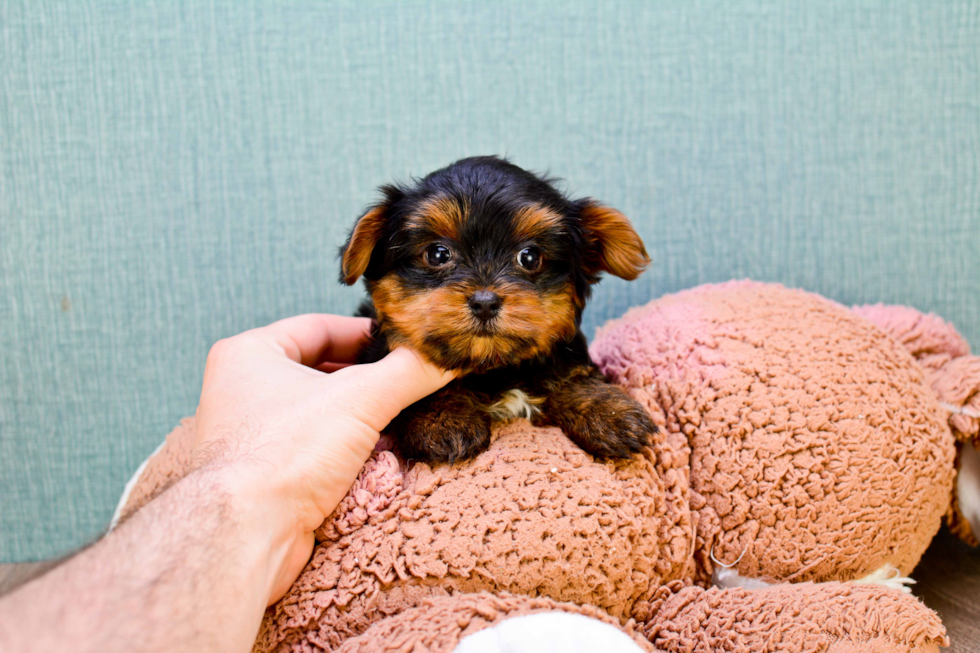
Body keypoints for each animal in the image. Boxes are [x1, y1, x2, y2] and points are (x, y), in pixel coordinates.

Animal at [340, 157, 656, 464]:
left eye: (530, 257)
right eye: (437, 254)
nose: (484, 302)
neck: (493, 369)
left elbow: (573, 374)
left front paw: (607, 410)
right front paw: (442, 419)